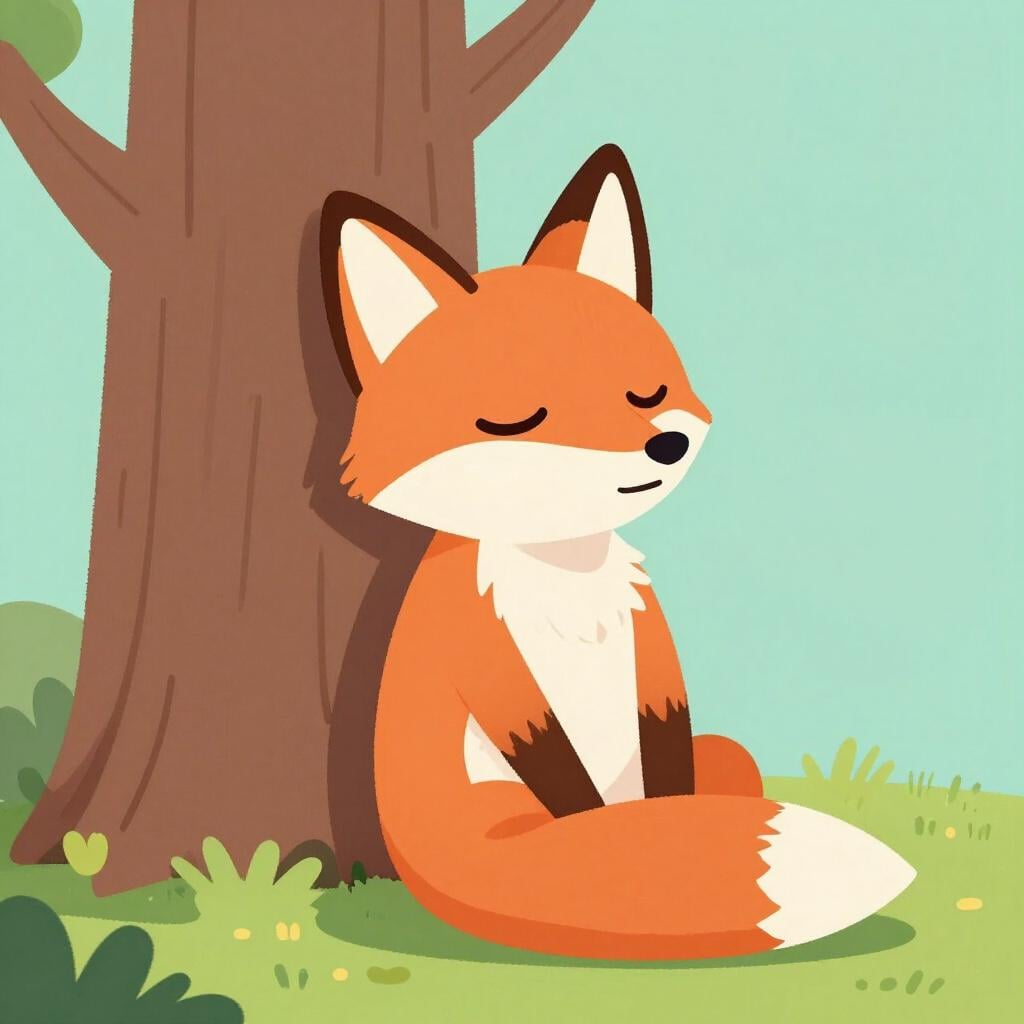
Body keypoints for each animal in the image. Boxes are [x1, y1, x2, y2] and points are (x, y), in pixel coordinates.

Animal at [318, 145, 915, 960]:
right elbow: (557, 766)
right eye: (517, 418)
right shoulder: (478, 648)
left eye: (646, 391)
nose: (663, 446)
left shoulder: (652, 653)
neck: (565, 577)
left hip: (723, 751)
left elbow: (664, 753)